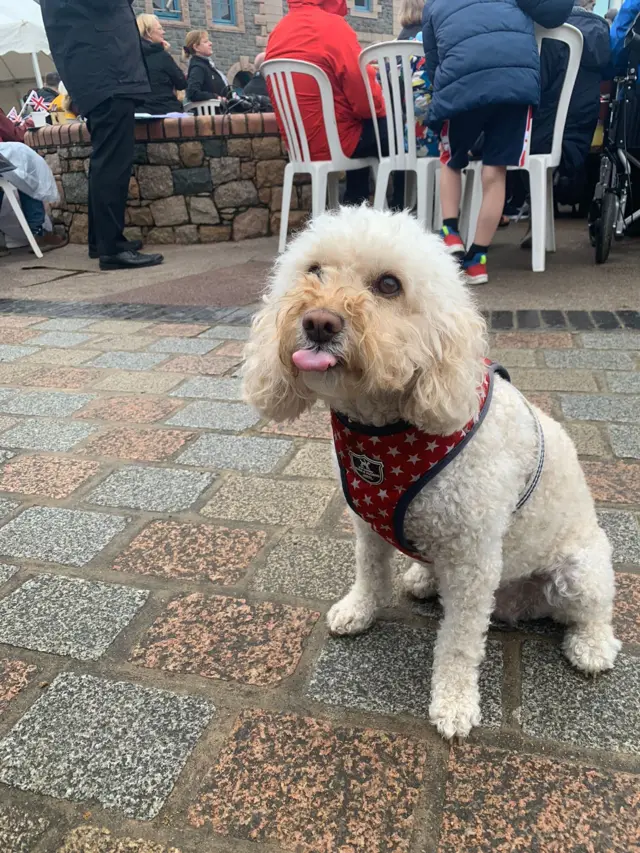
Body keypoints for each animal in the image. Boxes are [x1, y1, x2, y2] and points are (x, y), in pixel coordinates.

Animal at [244, 205, 620, 740]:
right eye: (313, 271)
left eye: (389, 285)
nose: (318, 322)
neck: (384, 430)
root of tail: (520, 604)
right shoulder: (368, 524)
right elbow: (369, 573)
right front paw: (359, 610)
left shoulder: (472, 559)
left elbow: (460, 642)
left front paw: (455, 703)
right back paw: (423, 577)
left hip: (579, 570)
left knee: (594, 610)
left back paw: (591, 647)